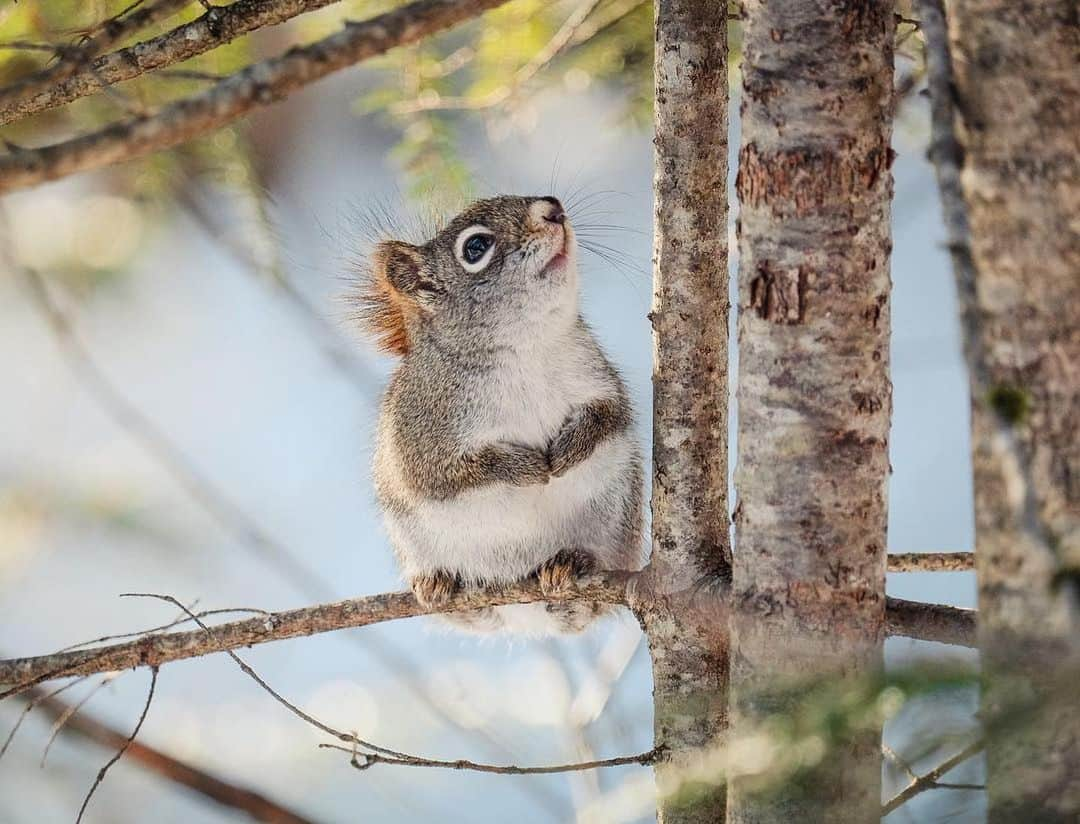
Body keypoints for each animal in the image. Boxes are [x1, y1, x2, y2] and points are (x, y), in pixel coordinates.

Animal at [358, 193, 639, 630]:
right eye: (475, 247)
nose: (553, 209)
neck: (523, 347)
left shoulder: (598, 378)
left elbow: (610, 416)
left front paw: (571, 448)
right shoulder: (418, 435)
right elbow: (448, 473)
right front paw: (523, 467)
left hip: (613, 516)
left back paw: (571, 563)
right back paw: (438, 582)